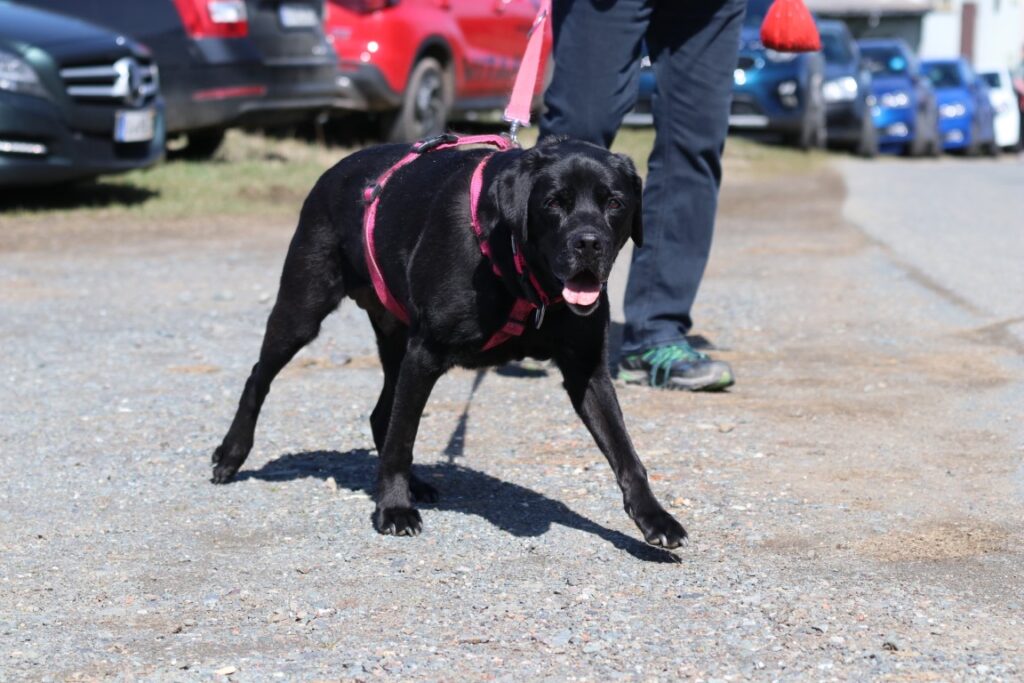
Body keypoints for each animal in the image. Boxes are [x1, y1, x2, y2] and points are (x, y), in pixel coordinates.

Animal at [211, 135, 687, 549]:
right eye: (554, 202)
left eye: (615, 203)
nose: (589, 243)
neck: (519, 272)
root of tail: (337, 167)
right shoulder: (426, 354)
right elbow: (403, 440)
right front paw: (394, 509)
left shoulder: (586, 368)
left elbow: (626, 452)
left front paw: (655, 519)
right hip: (304, 308)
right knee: (260, 377)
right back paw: (231, 454)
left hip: (396, 338)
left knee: (382, 413)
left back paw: (415, 483)